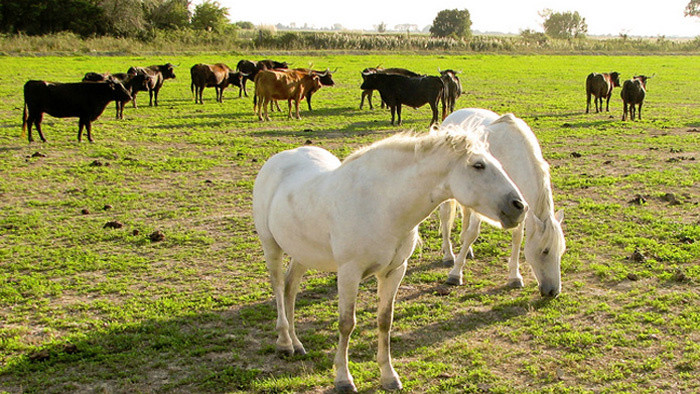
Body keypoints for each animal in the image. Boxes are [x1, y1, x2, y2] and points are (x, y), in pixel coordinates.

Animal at [254, 127, 528, 390]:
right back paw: (285, 342)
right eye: (478, 165)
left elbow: (385, 321)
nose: (519, 206)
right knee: (278, 287)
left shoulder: (394, 271)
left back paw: (297, 343)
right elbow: (346, 323)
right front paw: (343, 378)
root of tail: (279, 159)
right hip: (271, 246)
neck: (382, 205)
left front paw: (388, 376)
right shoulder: (349, 272)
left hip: (302, 253)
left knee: (290, 288)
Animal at [440, 107, 568, 296]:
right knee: (445, 219)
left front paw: (515, 277)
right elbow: (473, 233)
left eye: (561, 251)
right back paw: (448, 255)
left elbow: (517, 237)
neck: (512, 155)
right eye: (545, 251)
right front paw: (455, 273)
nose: (553, 291)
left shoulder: (518, 206)